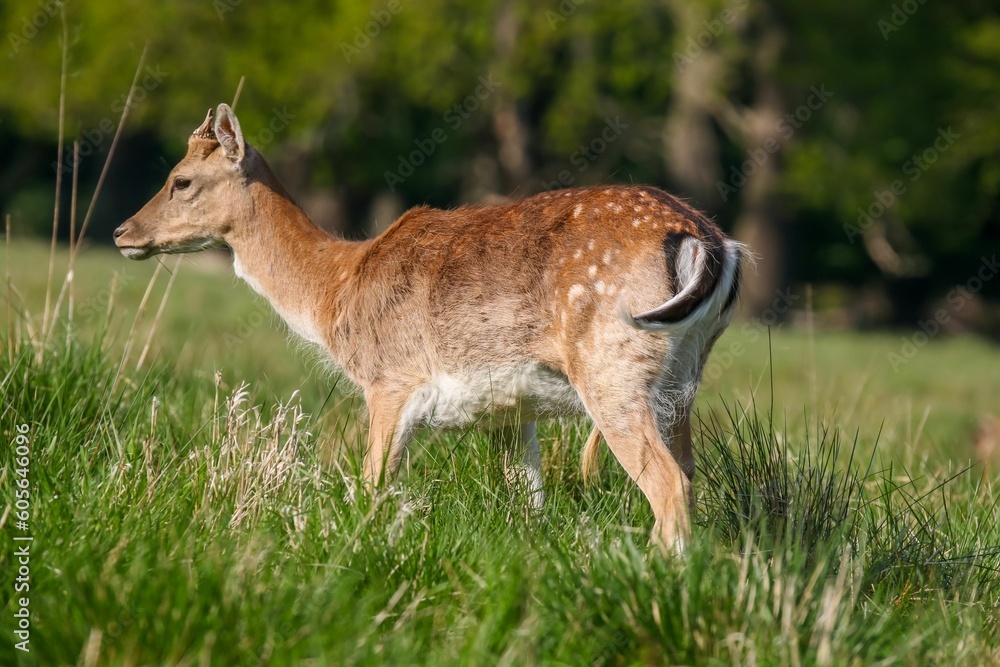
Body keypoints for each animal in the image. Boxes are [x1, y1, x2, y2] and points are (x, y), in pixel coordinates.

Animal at [113, 103, 746, 553]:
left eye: (181, 180)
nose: (123, 232)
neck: (336, 293)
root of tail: (713, 242)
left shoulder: (390, 381)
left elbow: (373, 485)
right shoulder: (510, 409)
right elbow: (531, 502)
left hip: (613, 366)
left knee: (670, 487)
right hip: (681, 379)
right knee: (690, 476)